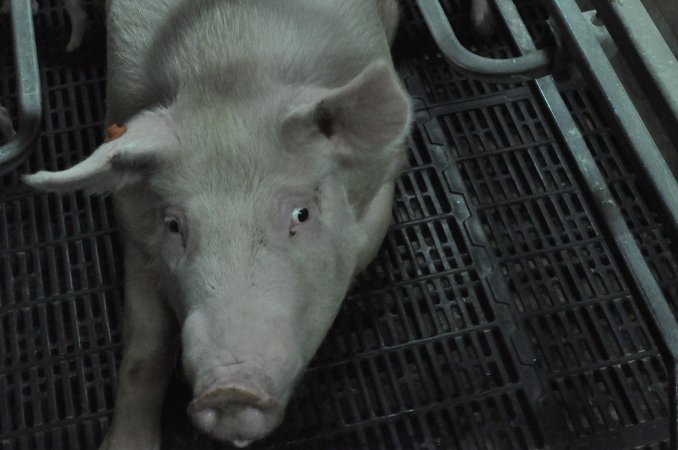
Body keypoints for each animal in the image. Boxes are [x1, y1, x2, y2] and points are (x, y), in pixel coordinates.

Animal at [22, 1, 414, 448]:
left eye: (301, 214)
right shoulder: (132, 222)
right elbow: (144, 344)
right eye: (174, 225)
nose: (230, 390)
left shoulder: (384, 176)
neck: (230, 65)